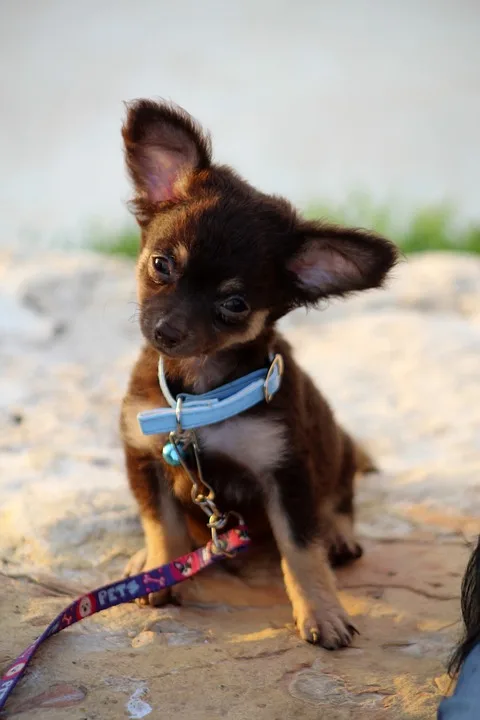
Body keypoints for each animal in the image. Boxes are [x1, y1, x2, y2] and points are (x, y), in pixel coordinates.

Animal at [120, 98, 398, 648]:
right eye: (161, 264)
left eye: (235, 303)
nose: (166, 331)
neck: (197, 397)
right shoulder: (143, 455)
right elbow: (161, 522)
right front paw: (161, 570)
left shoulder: (285, 473)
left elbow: (302, 550)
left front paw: (322, 612)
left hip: (337, 446)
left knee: (340, 501)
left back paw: (340, 536)